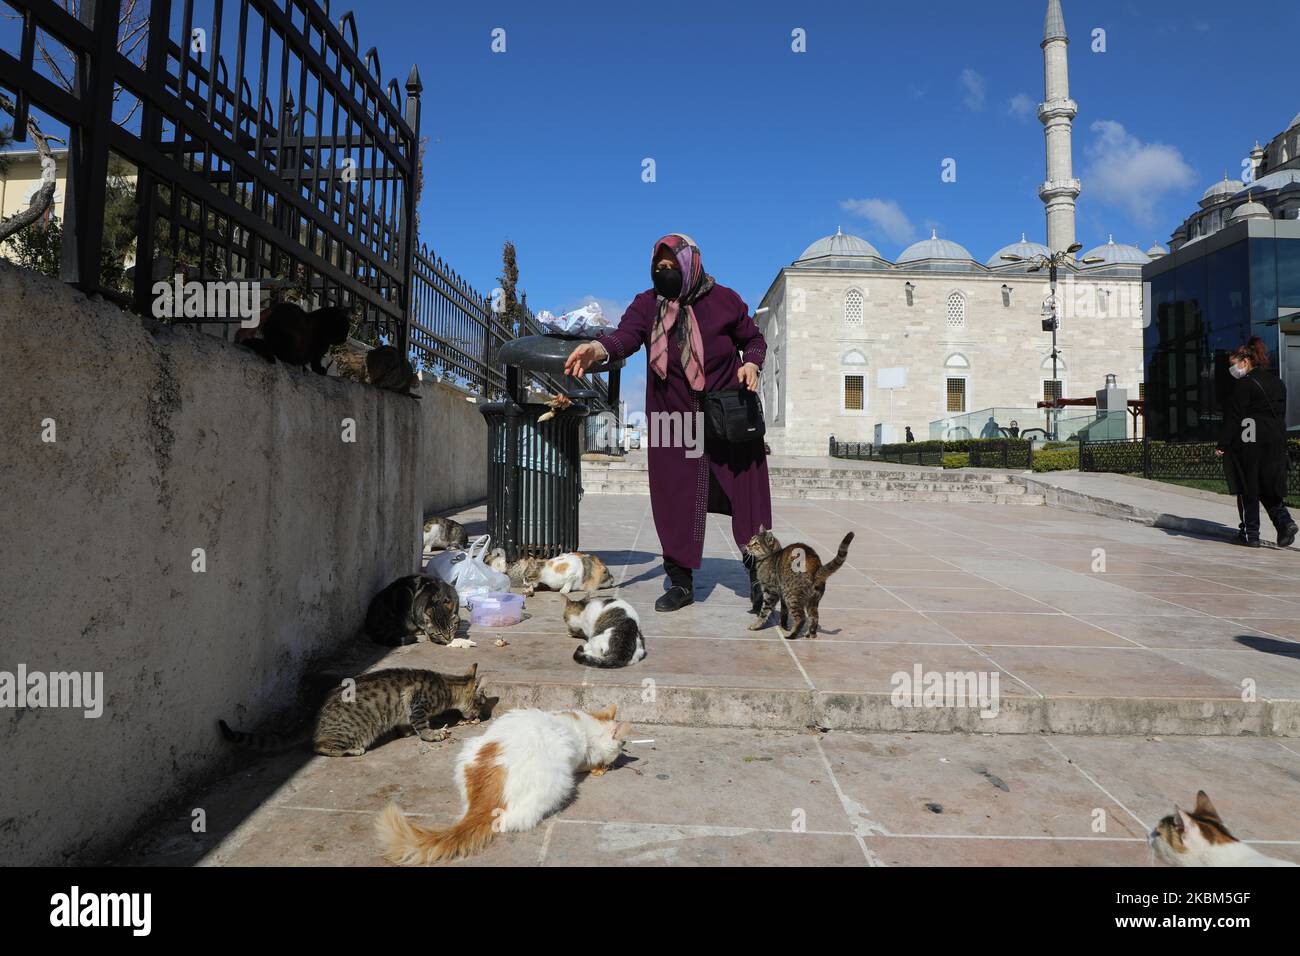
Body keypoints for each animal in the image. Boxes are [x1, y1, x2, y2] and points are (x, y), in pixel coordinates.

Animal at [220, 660, 493, 759]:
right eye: (480, 703)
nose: (481, 717)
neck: (447, 685)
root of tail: (318, 711)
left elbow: (405, 722)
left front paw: (404, 731)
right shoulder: (417, 701)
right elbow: (421, 725)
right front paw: (433, 735)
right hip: (352, 732)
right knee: (319, 746)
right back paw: (352, 750)